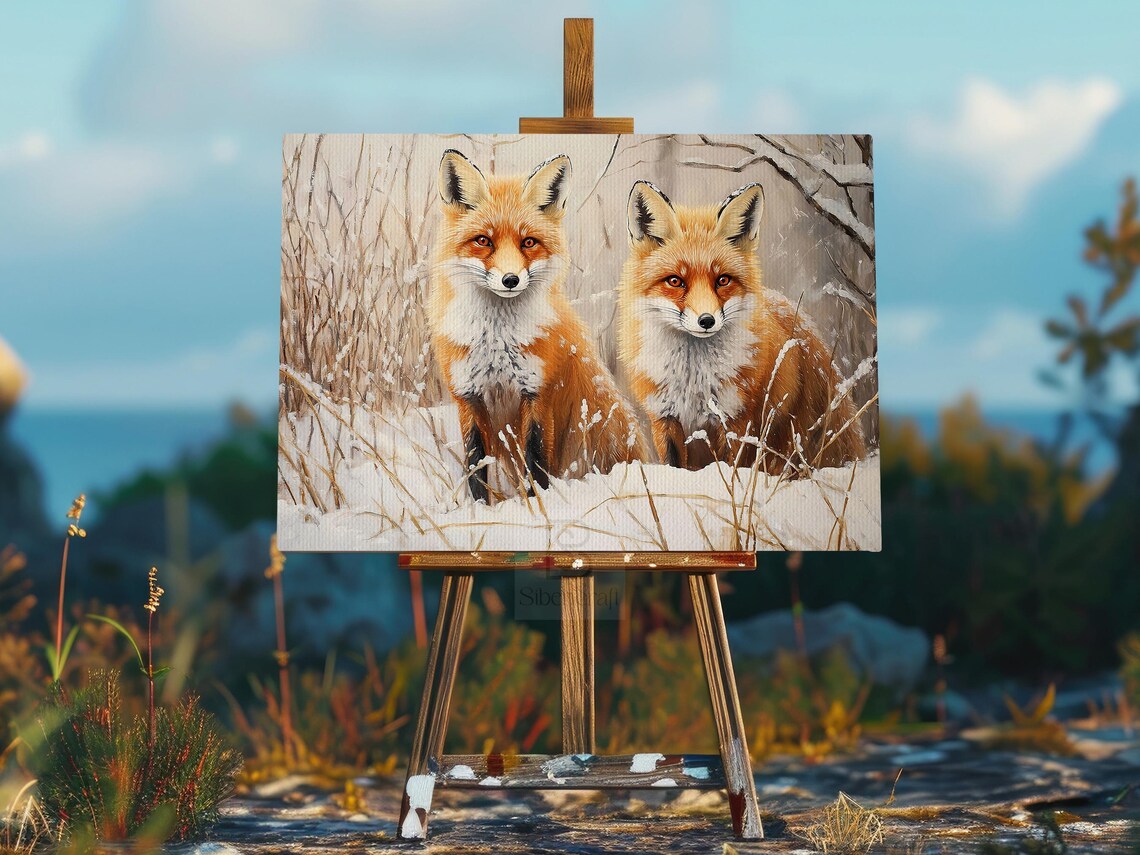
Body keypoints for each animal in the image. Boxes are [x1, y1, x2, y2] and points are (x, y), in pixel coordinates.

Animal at [429, 149, 646, 502]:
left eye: (528, 242)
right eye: (483, 241)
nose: (510, 279)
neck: (496, 342)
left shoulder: (538, 394)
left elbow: (536, 462)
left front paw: (537, 508)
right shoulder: (467, 396)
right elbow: (476, 467)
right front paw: (479, 509)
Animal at [616, 179, 866, 475]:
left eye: (722, 280)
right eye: (675, 281)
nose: (706, 321)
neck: (693, 379)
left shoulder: (735, 420)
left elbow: (730, 469)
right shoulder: (664, 418)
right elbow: (674, 466)